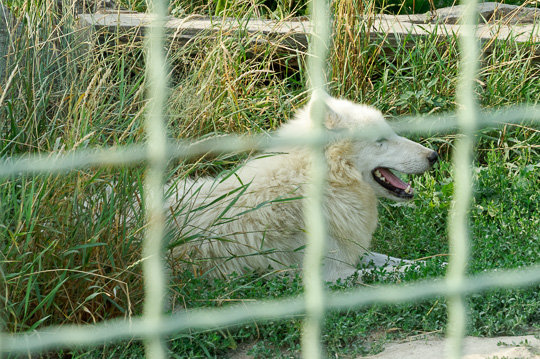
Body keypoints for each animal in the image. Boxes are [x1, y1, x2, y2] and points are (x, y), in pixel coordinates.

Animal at [171, 93, 436, 284]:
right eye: (381, 140)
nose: (434, 155)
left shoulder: (350, 253)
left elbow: (409, 261)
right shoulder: (331, 276)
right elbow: (401, 270)